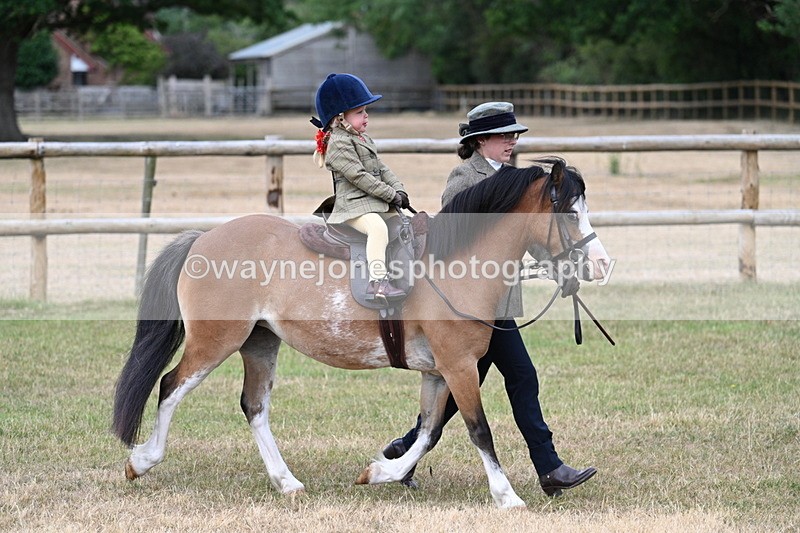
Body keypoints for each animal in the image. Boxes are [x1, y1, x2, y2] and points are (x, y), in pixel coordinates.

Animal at [112, 159, 611, 508]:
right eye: (570, 214)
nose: (602, 264)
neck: (454, 264)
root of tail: (203, 237)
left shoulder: (438, 373)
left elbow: (430, 431)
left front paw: (380, 473)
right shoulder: (459, 367)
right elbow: (478, 430)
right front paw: (507, 497)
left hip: (260, 343)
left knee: (254, 408)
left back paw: (287, 482)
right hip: (216, 341)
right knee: (170, 387)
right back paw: (141, 461)